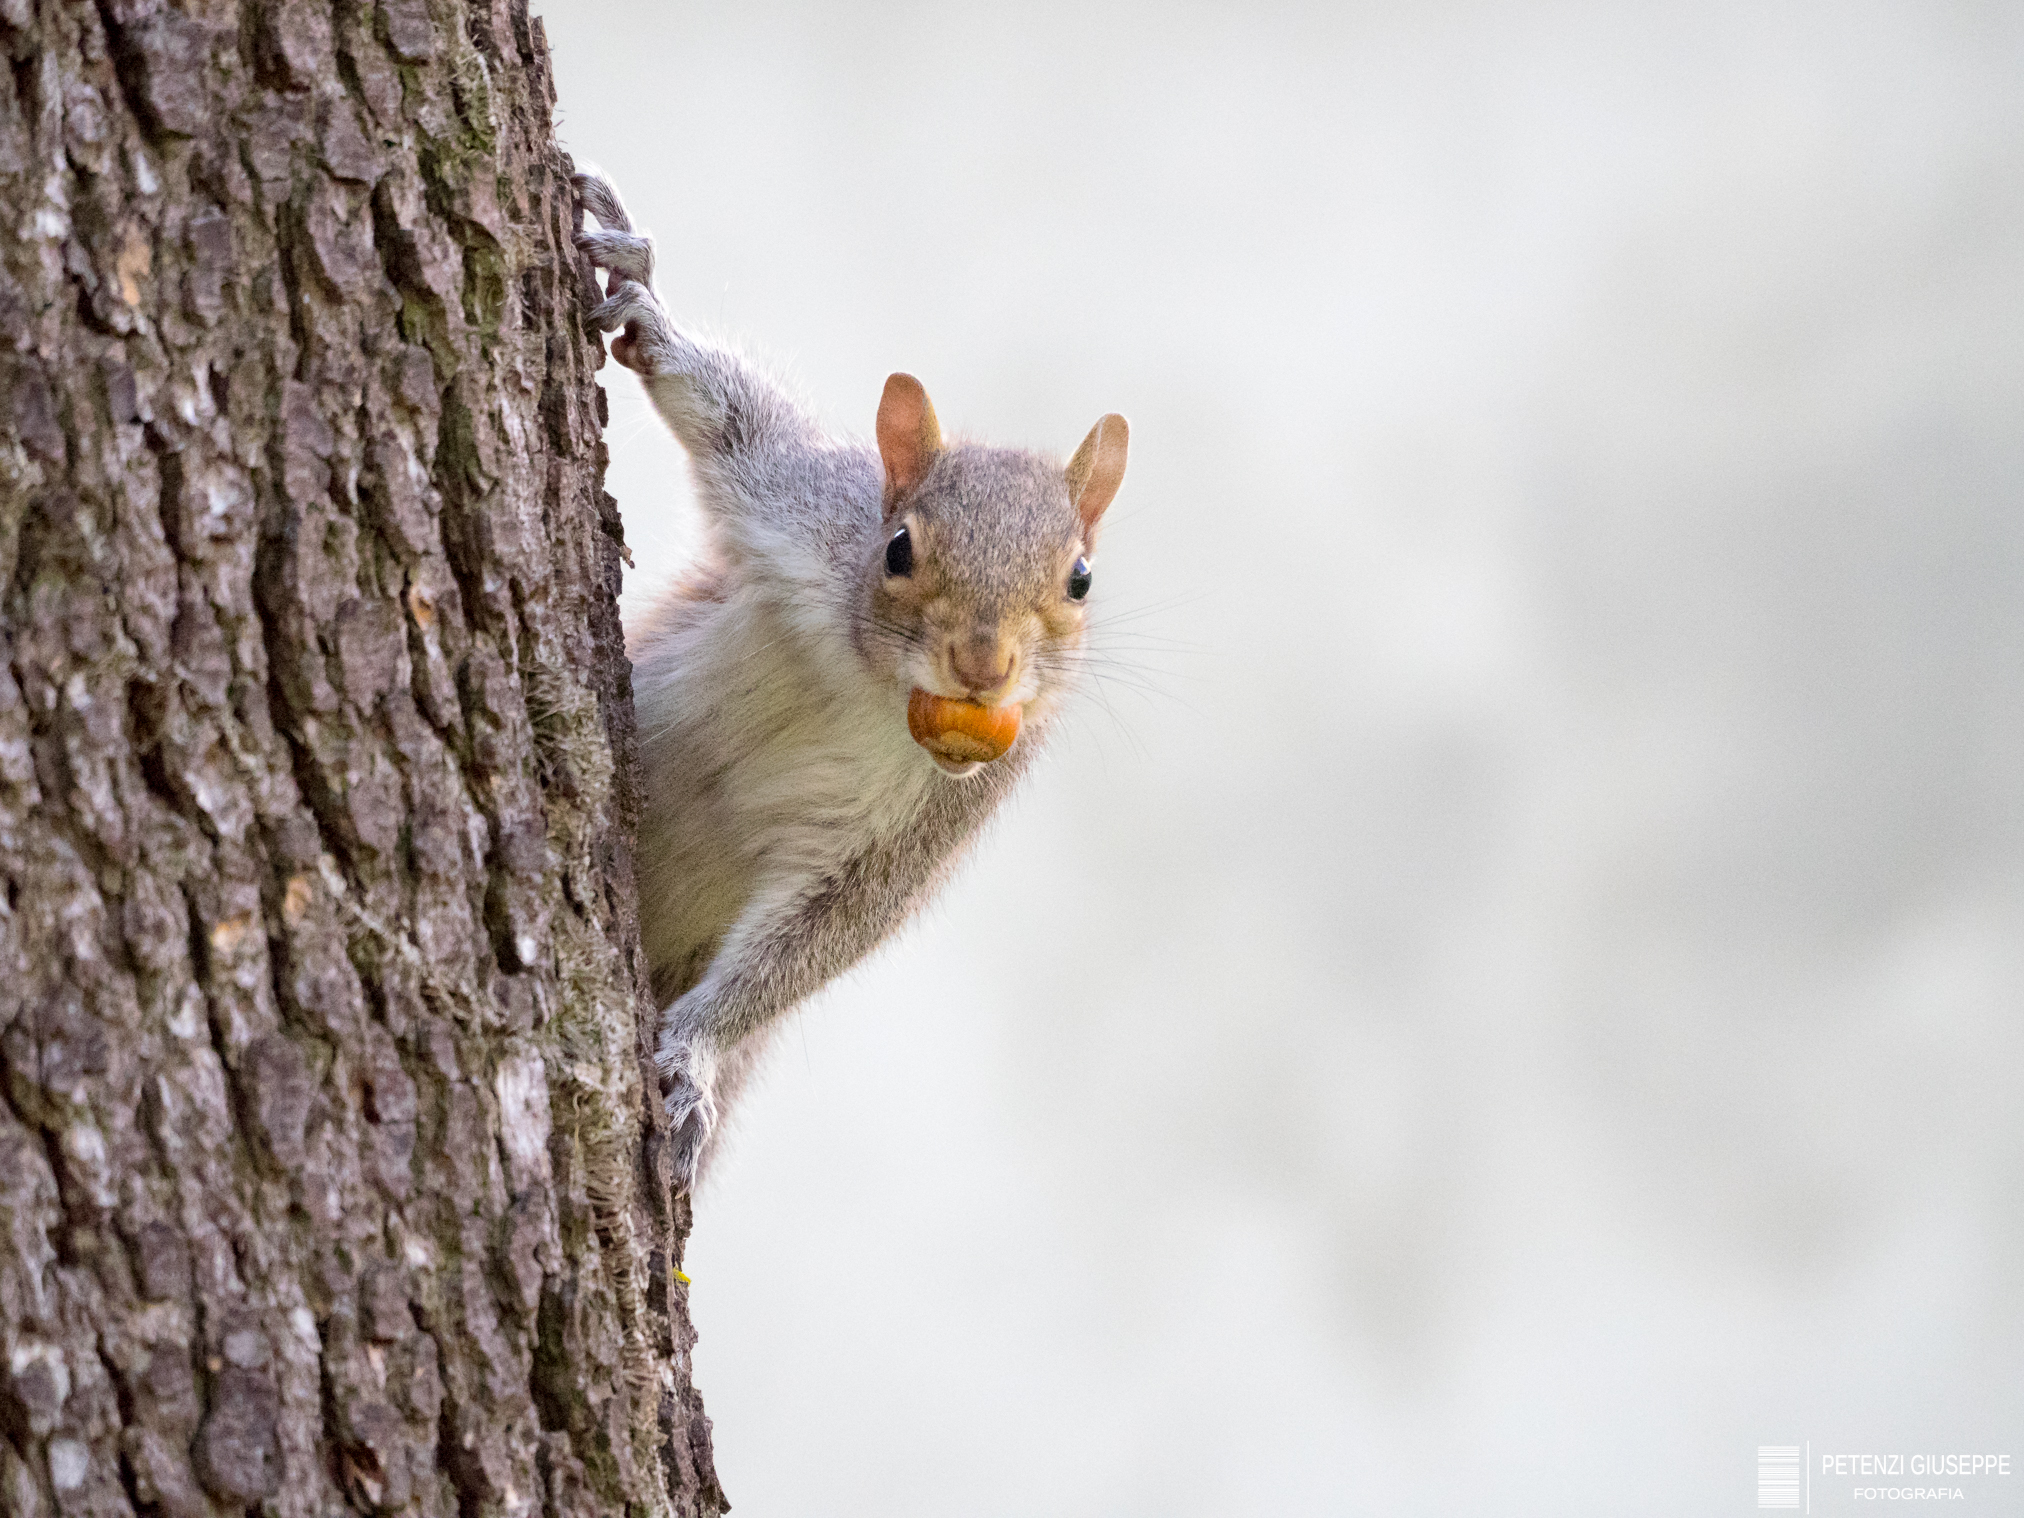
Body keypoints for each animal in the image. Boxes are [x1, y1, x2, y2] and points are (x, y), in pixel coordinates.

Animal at [572, 172, 1130, 1190]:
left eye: (1080, 580)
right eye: (899, 547)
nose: (982, 668)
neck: (873, 687)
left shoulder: (935, 815)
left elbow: (814, 937)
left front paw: (691, 1060)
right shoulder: (801, 515)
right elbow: (730, 420)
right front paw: (644, 304)